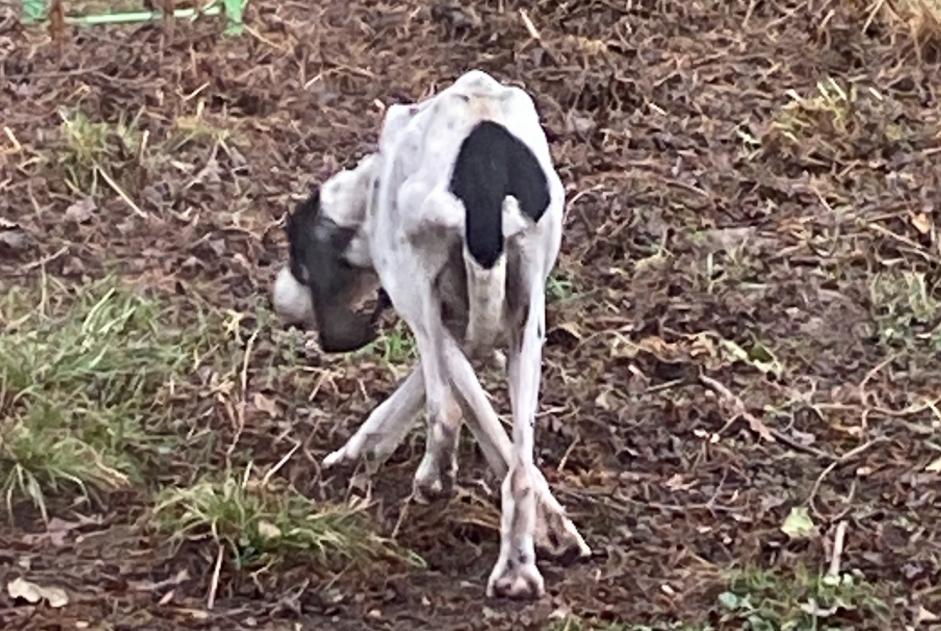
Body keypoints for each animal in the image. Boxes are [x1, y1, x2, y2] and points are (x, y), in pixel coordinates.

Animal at [272, 71, 588, 600]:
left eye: (296, 257)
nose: (277, 300)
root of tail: (482, 176)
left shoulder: (422, 301)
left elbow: (453, 399)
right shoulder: (495, 320)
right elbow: (499, 440)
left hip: (421, 290)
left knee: (444, 413)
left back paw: (434, 478)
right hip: (528, 323)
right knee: (518, 467)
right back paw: (517, 570)